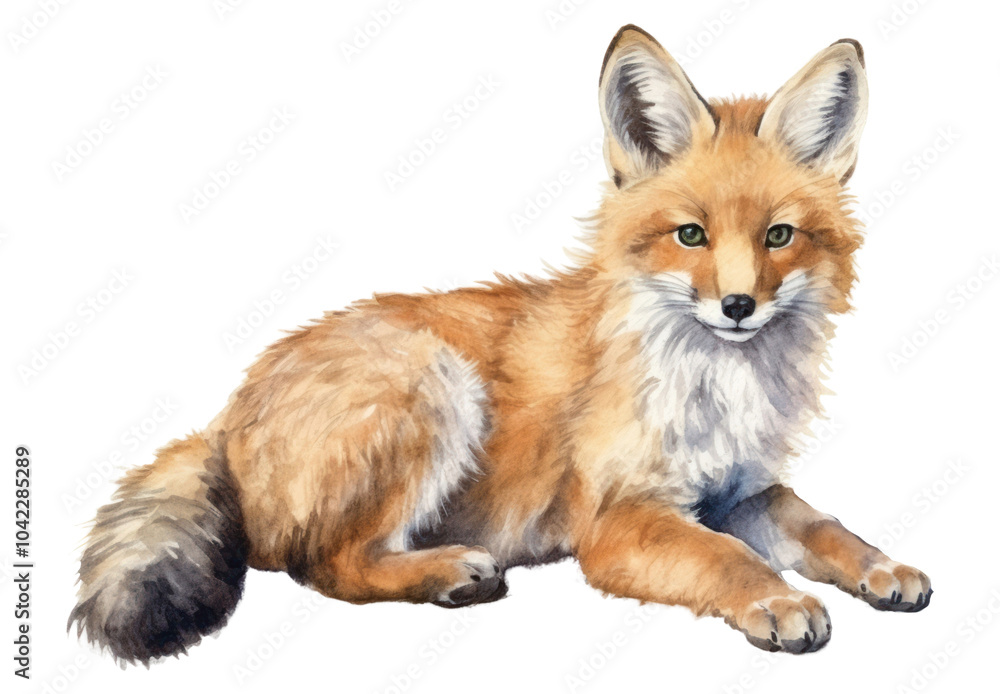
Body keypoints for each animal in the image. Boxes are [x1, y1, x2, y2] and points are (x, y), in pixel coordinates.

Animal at [71, 25, 931, 664]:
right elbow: (729, 559)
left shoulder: (739, 491)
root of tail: (226, 414)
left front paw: (883, 568)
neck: (715, 382)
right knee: (325, 566)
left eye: (779, 236)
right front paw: (779, 600)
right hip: (435, 384)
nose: (739, 306)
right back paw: (449, 571)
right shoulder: (618, 520)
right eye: (690, 236)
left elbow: (823, 527)